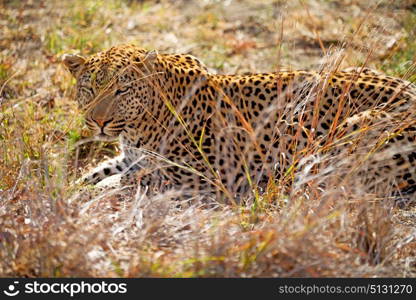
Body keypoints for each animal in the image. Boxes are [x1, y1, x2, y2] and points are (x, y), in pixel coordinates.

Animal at [61, 44, 416, 203]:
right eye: (90, 88)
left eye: (122, 90)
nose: (99, 121)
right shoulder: (132, 157)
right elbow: (98, 171)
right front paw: (72, 187)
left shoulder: (200, 175)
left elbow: (132, 181)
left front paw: (97, 191)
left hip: (355, 129)